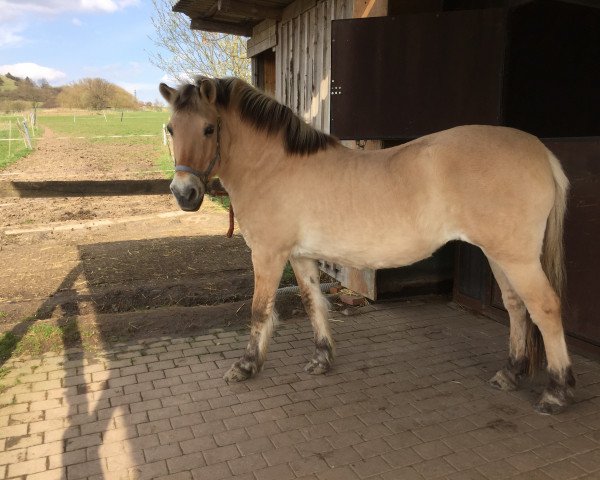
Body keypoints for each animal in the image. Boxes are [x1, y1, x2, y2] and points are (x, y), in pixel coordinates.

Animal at [161, 77, 576, 414]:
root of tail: (541, 152)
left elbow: (259, 311)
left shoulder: (268, 254)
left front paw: (246, 366)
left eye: (209, 128)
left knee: (545, 308)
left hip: (517, 257)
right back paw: (510, 373)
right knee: (516, 307)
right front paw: (322, 359)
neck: (274, 166)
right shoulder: (301, 256)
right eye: (170, 128)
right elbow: (313, 304)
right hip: (499, 255)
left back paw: (556, 391)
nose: (184, 194)